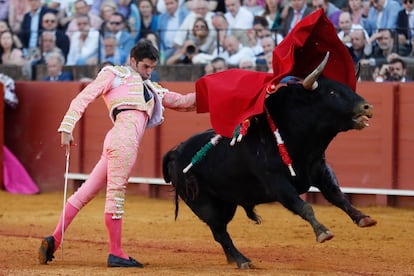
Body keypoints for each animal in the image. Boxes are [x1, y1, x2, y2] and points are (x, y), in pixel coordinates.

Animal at [163, 75, 376, 268]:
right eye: (332, 92)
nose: (367, 107)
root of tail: (175, 152)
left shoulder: (320, 170)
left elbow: (338, 196)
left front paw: (363, 218)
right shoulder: (277, 184)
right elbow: (304, 206)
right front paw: (322, 232)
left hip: (227, 202)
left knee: (221, 230)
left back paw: (232, 259)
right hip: (203, 204)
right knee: (219, 231)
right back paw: (242, 261)